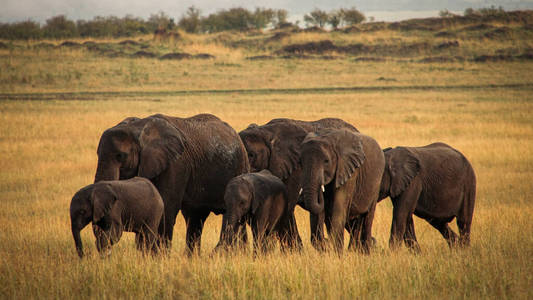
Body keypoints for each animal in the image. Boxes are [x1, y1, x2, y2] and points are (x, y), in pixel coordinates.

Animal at [92, 113, 248, 254]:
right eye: (97, 154)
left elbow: (166, 207)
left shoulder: (176, 164)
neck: (139, 127)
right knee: (195, 217)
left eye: (121, 156)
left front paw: (159, 256)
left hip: (239, 167)